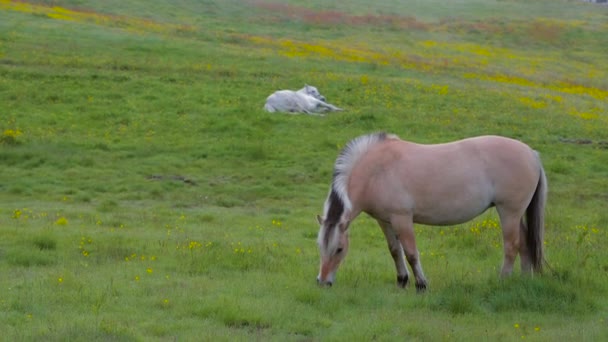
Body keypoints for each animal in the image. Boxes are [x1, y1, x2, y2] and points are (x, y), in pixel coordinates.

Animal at [316, 132, 548, 290]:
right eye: (320, 246)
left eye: (339, 249)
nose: (322, 281)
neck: (376, 171)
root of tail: (532, 154)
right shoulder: (385, 220)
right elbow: (395, 250)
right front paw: (402, 281)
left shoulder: (402, 219)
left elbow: (411, 253)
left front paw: (421, 284)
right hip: (516, 214)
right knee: (524, 243)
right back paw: (523, 280)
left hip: (509, 212)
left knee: (511, 246)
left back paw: (503, 280)